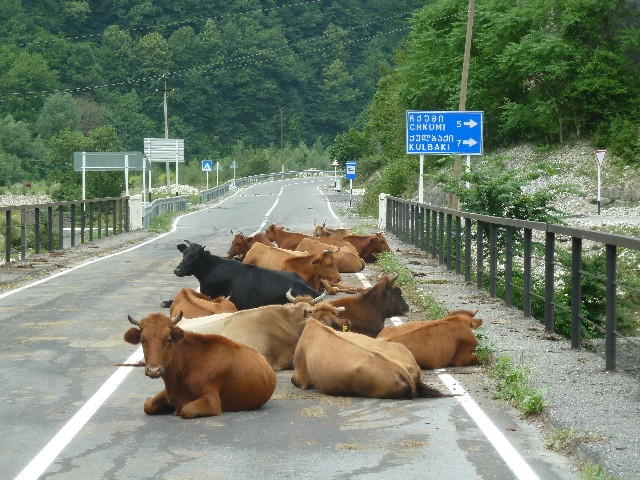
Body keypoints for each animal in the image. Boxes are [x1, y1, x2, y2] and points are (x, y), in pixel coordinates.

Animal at [124, 314, 276, 418]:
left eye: (168, 339)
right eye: (143, 340)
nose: (154, 370)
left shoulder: (212, 402)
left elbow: (186, 410)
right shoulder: (169, 393)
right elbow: (147, 406)